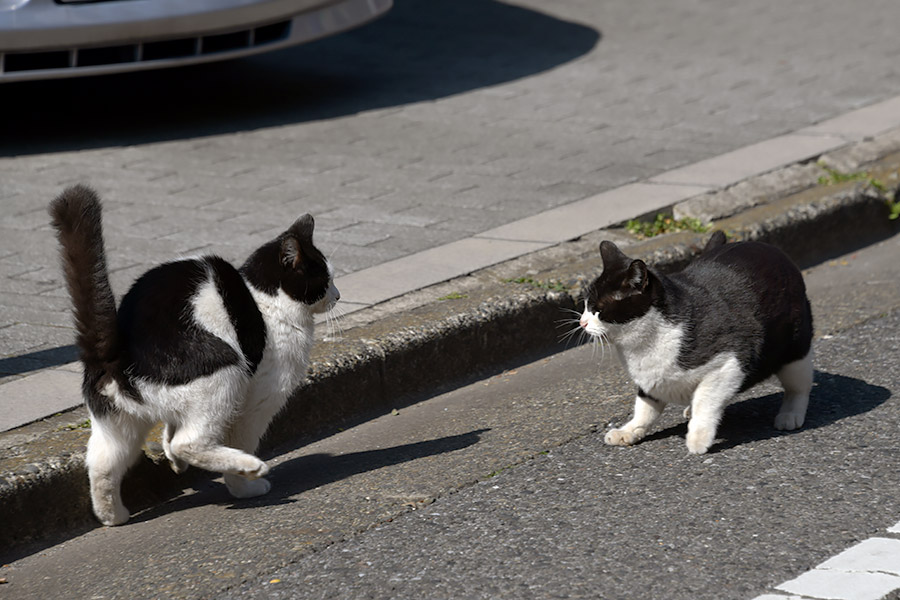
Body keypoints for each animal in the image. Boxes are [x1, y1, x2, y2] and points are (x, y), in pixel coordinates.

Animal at [51, 184, 342, 524]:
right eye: (325, 279)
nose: (338, 295)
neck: (264, 299)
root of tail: (115, 349)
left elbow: (170, 430)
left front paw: (171, 458)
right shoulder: (257, 401)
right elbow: (236, 438)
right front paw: (244, 487)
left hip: (118, 425)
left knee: (101, 463)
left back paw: (113, 516)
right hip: (225, 372)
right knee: (190, 442)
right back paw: (248, 467)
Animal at [580, 232, 812, 452]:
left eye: (598, 310)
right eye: (585, 306)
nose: (582, 322)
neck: (642, 345)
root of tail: (769, 247)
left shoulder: (730, 361)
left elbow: (705, 400)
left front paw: (698, 437)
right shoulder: (649, 379)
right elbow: (644, 409)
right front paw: (628, 431)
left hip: (795, 351)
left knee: (799, 386)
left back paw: (790, 414)